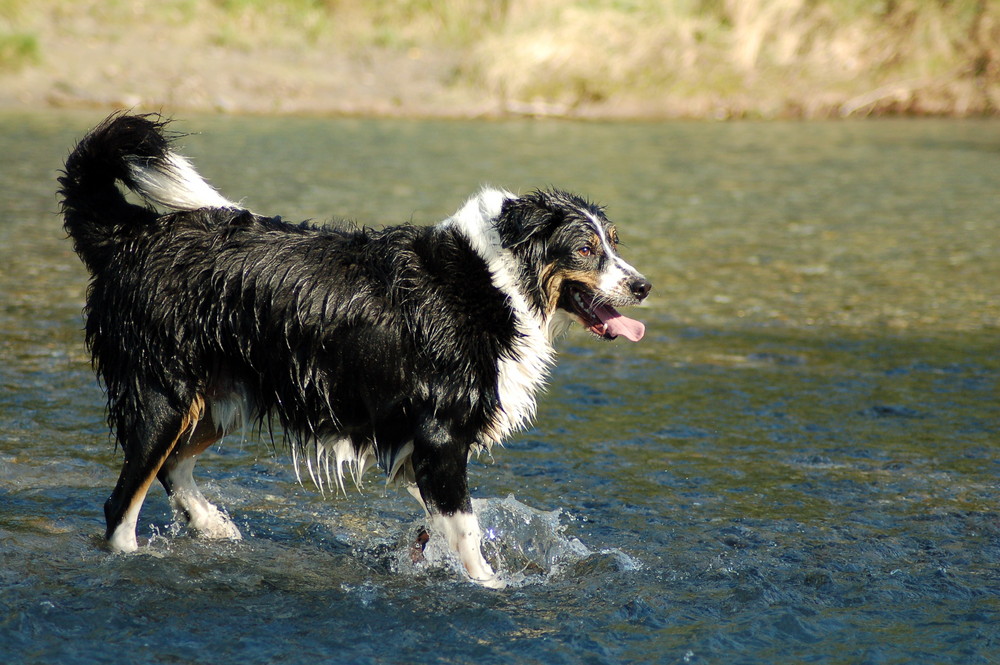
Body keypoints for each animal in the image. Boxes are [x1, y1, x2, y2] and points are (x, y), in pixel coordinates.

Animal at [58, 114, 652, 588]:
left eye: (614, 242)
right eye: (585, 249)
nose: (643, 286)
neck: (496, 280)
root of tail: (131, 235)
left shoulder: (411, 440)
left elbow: (449, 519)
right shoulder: (440, 434)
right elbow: (467, 529)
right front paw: (489, 586)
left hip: (223, 397)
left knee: (173, 466)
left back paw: (210, 524)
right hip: (165, 394)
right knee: (123, 502)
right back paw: (134, 558)